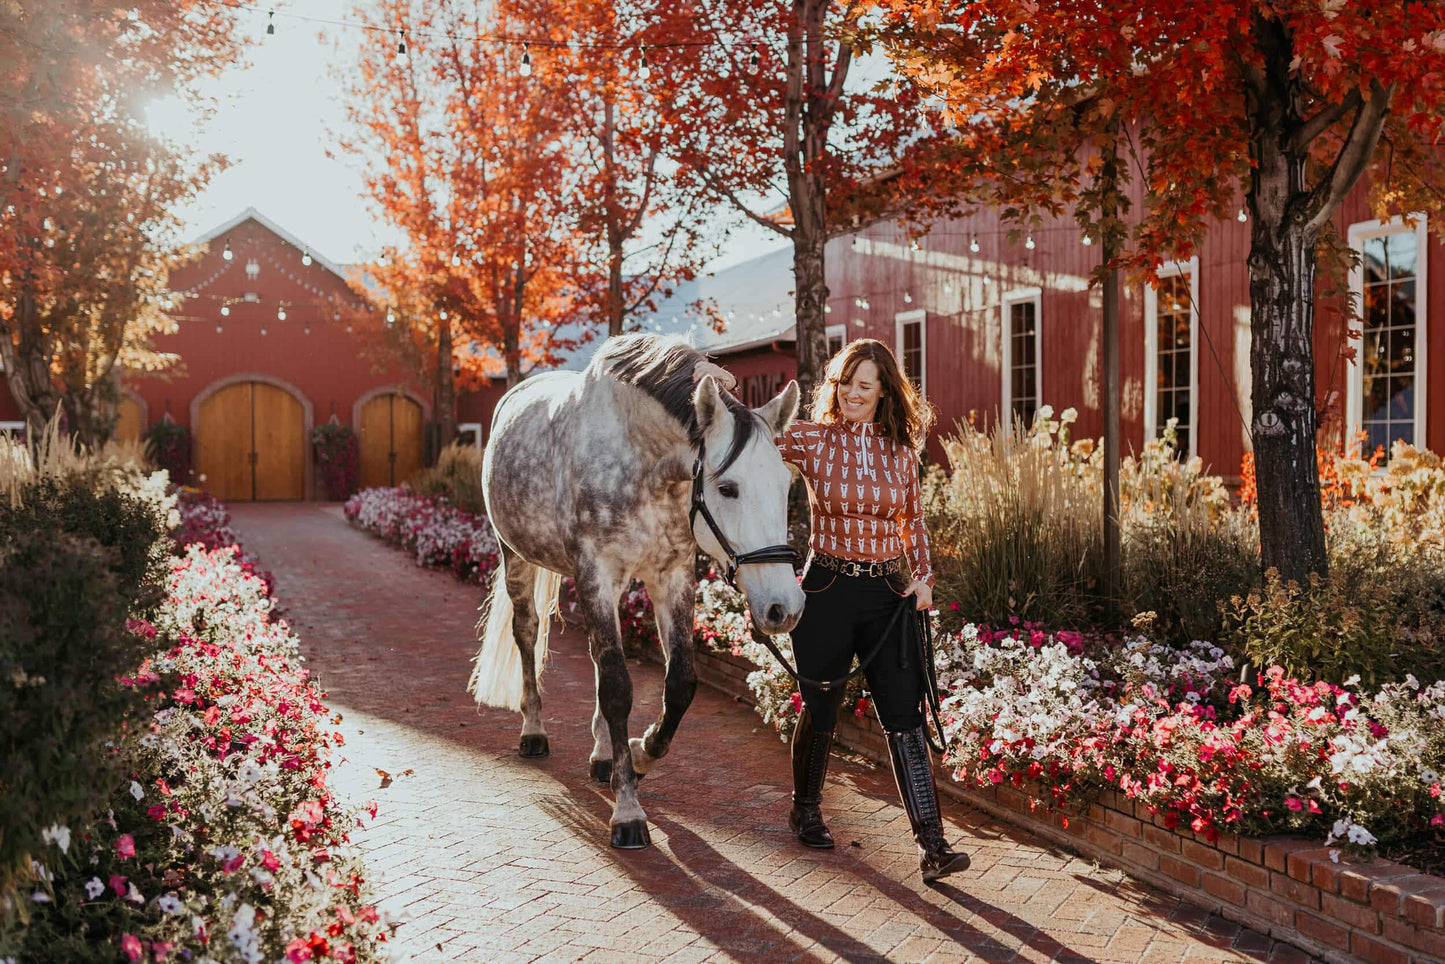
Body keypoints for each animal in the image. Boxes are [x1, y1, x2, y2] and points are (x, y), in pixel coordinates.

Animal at [468, 335, 803, 849]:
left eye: (787, 485)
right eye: (728, 488)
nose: (784, 608)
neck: (642, 462)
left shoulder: (671, 576)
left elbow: (679, 683)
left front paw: (640, 753)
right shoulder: (597, 574)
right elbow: (617, 687)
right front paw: (627, 810)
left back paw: (604, 751)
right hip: (515, 556)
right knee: (527, 632)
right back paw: (534, 730)